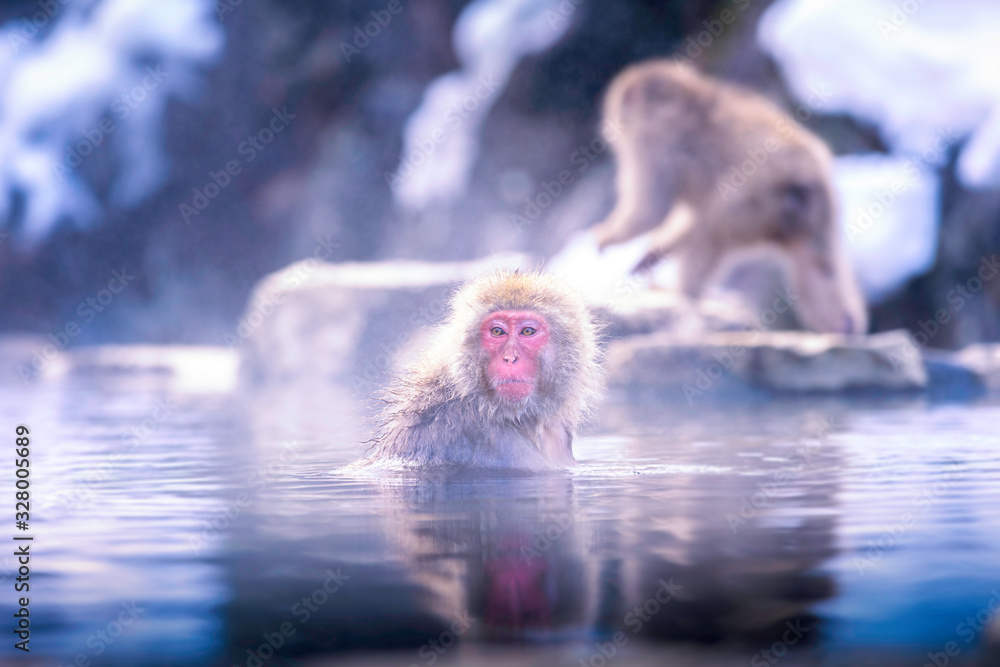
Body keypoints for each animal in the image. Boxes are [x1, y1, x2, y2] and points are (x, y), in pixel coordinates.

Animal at [589, 60, 868, 335]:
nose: (607, 126)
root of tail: (811, 181)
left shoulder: (654, 141)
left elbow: (652, 211)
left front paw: (607, 237)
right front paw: (654, 252)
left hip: (759, 200)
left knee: (712, 231)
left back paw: (684, 295)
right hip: (811, 217)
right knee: (817, 265)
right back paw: (843, 324)